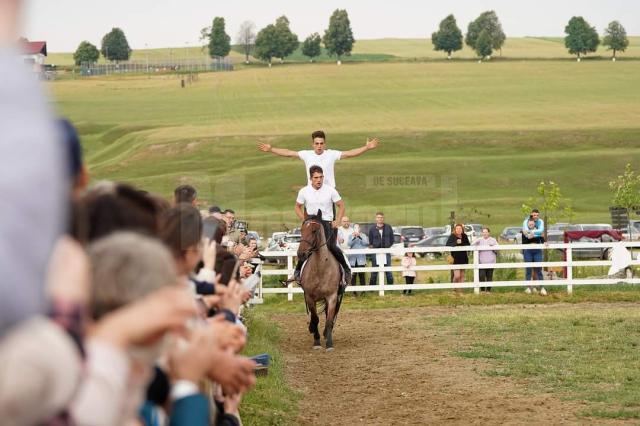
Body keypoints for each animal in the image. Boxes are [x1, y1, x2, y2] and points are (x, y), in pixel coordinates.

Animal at [298, 212, 344, 350]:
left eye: (314, 230)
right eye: (301, 230)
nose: (301, 254)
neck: (320, 268)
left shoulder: (332, 297)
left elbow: (328, 319)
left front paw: (329, 343)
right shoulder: (309, 297)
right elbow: (315, 318)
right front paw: (317, 341)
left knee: (331, 316)